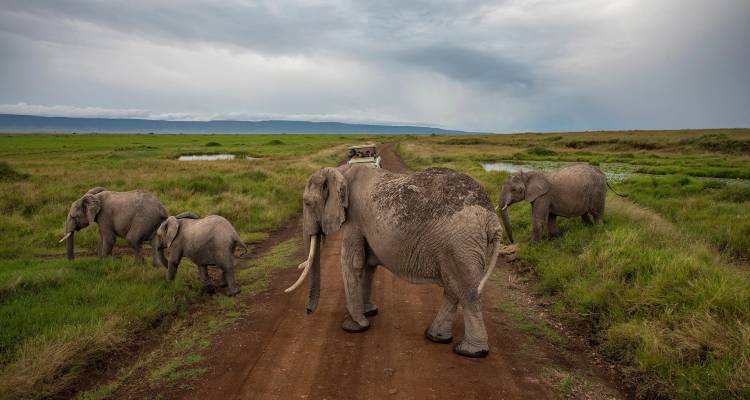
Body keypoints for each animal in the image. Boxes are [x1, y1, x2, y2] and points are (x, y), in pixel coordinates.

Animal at [285, 165, 504, 358]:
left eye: (307, 203)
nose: (308, 311)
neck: (340, 171)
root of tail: (492, 219)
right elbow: (368, 265)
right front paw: (369, 313)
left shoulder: (353, 217)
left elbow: (352, 262)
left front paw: (355, 326)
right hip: (461, 247)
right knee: (453, 288)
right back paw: (436, 337)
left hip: (461, 243)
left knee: (467, 292)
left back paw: (470, 352)